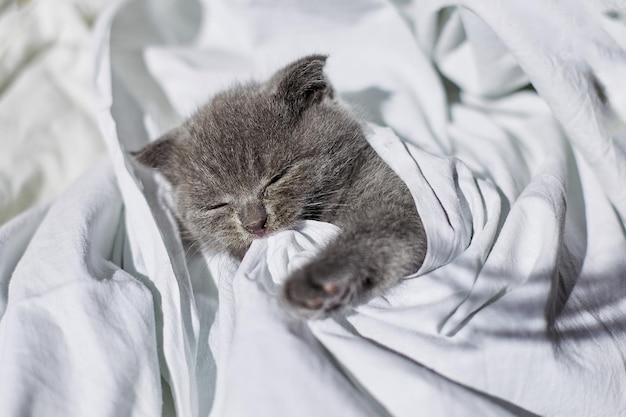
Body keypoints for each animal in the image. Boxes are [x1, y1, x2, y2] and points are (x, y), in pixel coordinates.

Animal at [132, 53, 424, 316]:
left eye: (278, 176)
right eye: (216, 205)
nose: (254, 224)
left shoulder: (396, 192)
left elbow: (382, 230)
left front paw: (316, 281)